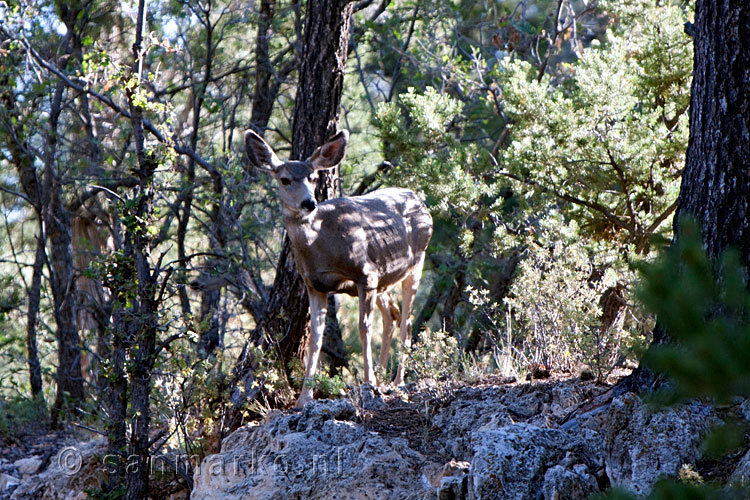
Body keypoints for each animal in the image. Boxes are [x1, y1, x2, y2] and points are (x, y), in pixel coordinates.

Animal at [247, 129, 434, 406]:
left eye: (313, 177)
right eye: (284, 179)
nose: (309, 203)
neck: (322, 244)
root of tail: (420, 201)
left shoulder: (365, 273)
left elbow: (364, 328)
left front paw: (368, 384)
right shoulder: (314, 284)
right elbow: (315, 338)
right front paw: (304, 399)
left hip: (416, 262)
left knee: (407, 321)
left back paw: (397, 381)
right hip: (384, 277)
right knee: (393, 314)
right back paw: (383, 376)